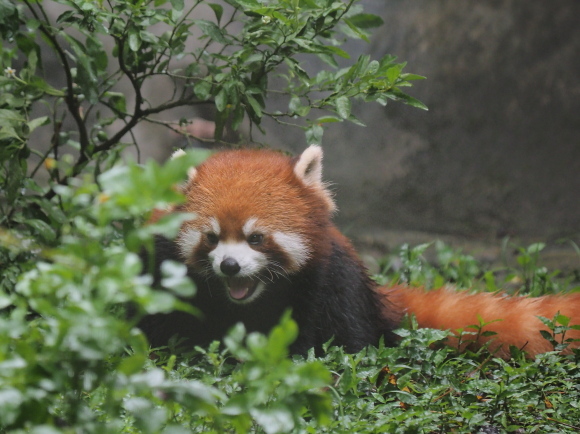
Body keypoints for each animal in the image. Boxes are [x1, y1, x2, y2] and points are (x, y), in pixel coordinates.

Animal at [139, 144, 580, 358]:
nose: (230, 266)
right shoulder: (159, 262)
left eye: (256, 238)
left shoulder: (325, 282)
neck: (246, 304)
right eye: (212, 238)